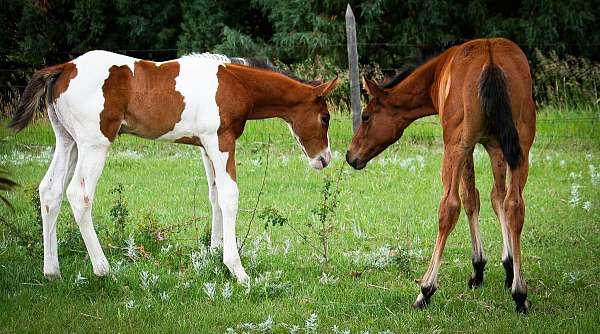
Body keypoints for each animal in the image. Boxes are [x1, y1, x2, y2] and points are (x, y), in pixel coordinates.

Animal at [9, 51, 338, 284]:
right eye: (325, 118)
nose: (324, 159)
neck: (235, 84)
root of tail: (65, 67)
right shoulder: (221, 141)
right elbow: (230, 196)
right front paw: (237, 270)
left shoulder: (206, 146)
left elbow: (214, 196)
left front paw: (214, 253)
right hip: (94, 143)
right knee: (79, 195)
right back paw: (104, 270)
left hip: (68, 142)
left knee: (50, 192)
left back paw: (52, 272)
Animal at [344, 39, 536, 314]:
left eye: (367, 116)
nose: (350, 155)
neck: (437, 73)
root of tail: (490, 61)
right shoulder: (495, 145)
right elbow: (497, 198)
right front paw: (508, 267)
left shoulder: (466, 146)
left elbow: (469, 198)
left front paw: (478, 268)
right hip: (521, 146)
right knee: (515, 205)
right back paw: (520, 294)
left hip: (455, 146)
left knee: (449, 206)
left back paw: (425, 290)